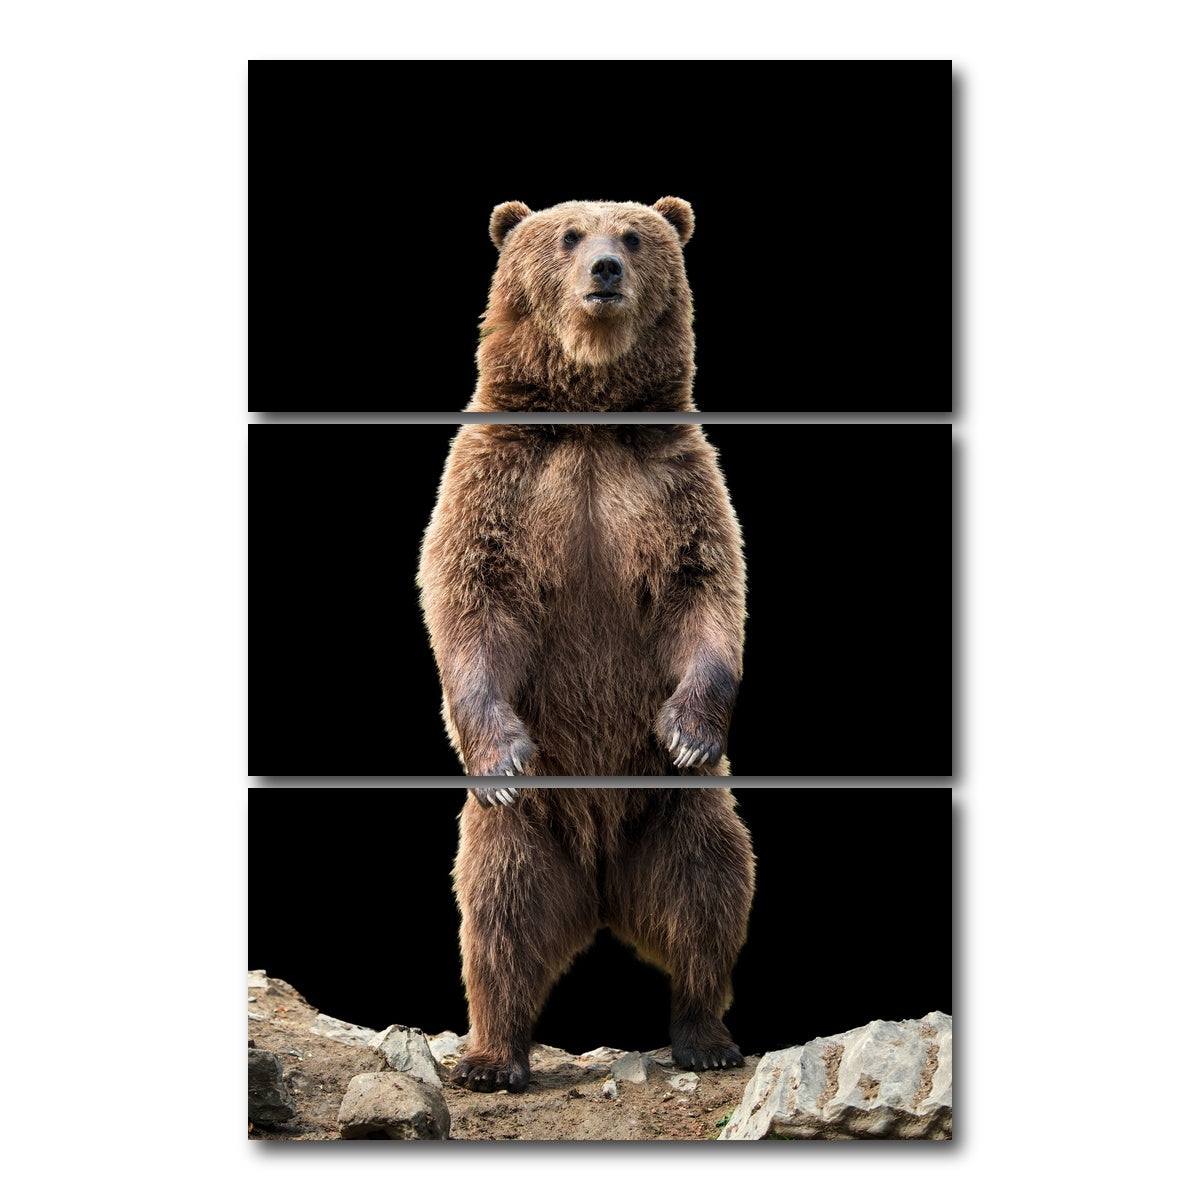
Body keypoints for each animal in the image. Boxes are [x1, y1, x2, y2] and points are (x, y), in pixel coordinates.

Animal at [416, 199, 753, 1092]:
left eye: (633, 236)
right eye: (568, 235)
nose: (605, 268)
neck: (592, 420)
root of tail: (601, 891)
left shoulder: (673, 482)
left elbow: (704, 592)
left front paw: (688, 729)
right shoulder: (500, 481)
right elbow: (473, 598)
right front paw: (501, 753)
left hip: (674, 812)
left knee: (709, 892)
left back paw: (705, 1036)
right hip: (529, 831)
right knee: (498, 916)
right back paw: (492, 1056)